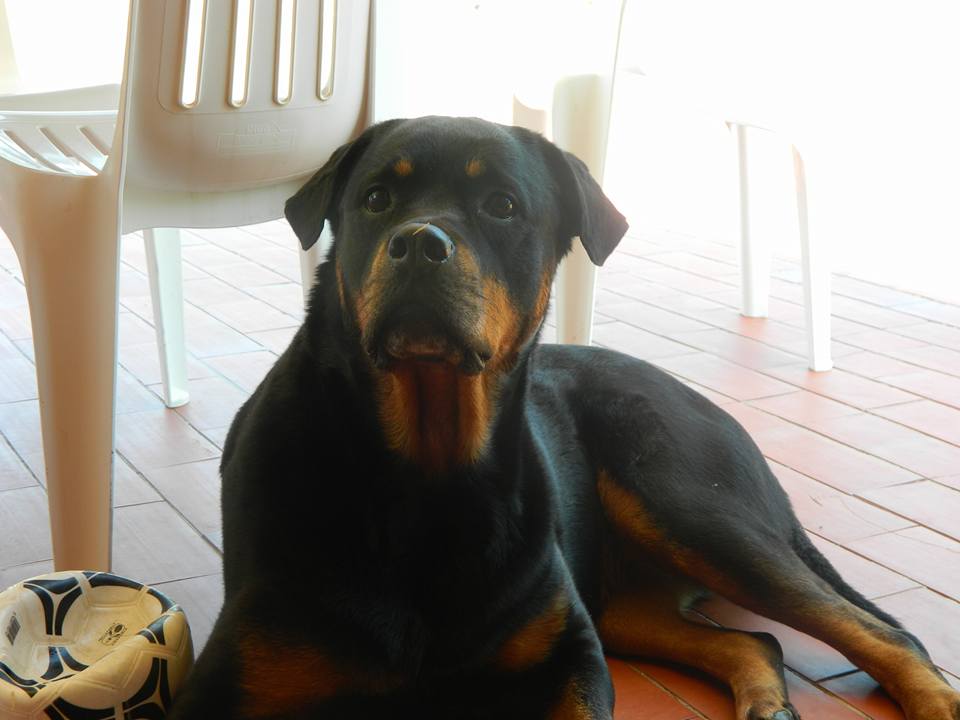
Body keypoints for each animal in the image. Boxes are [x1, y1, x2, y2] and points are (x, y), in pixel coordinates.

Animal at [172, 118, 960, 720]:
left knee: (884, 635)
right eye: (375, 198)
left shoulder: (570, 654)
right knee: (753, 641)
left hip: (684, 503)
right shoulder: (230, 680)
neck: (430, 475)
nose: (419, 242)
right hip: (623, 596)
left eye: (501, 205)